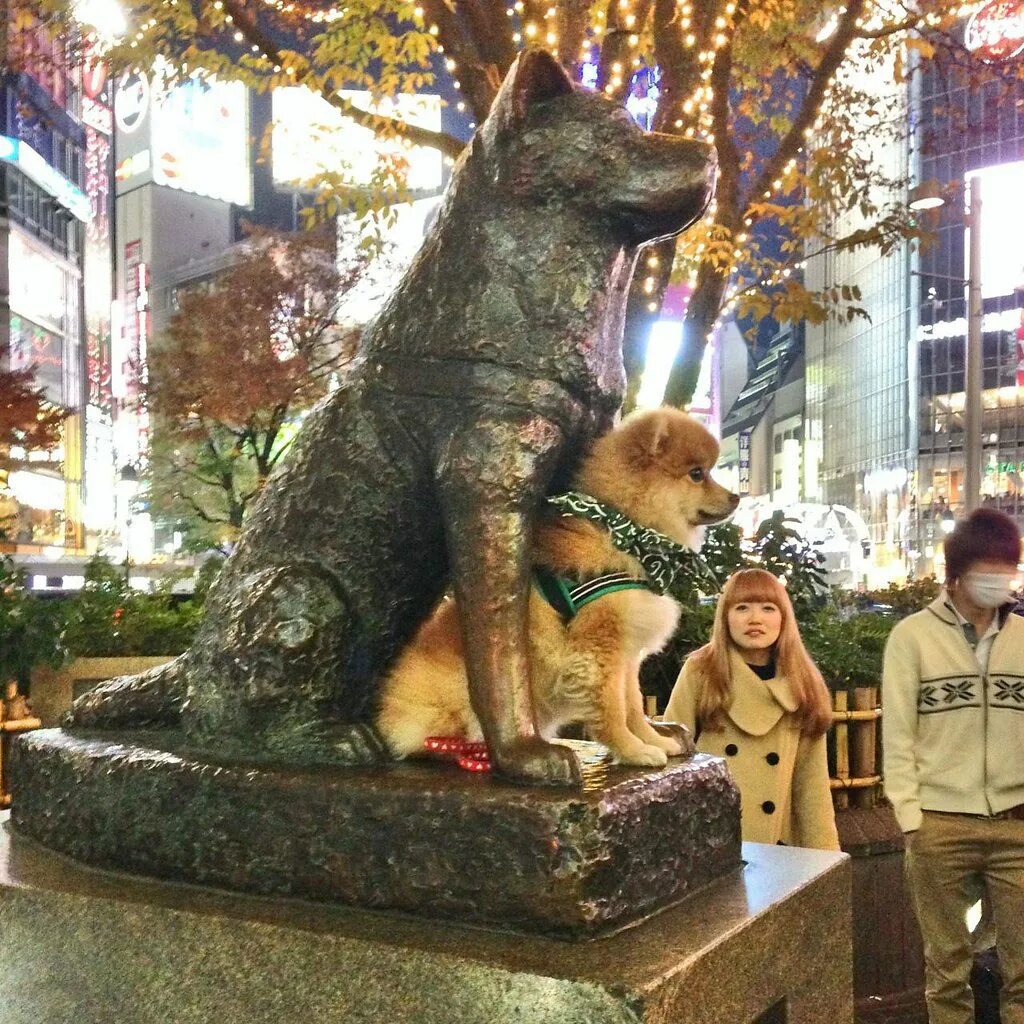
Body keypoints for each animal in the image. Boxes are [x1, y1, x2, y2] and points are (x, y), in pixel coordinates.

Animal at [376, 407, 737, 770]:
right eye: (697, 474)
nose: (736, 496)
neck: (629, 534)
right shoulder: (599, 649)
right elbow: (613, 711)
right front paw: (632, 750)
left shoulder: (626, 655)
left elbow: (633, 707)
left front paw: (652, 740)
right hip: (454, 695)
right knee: (424, 741)